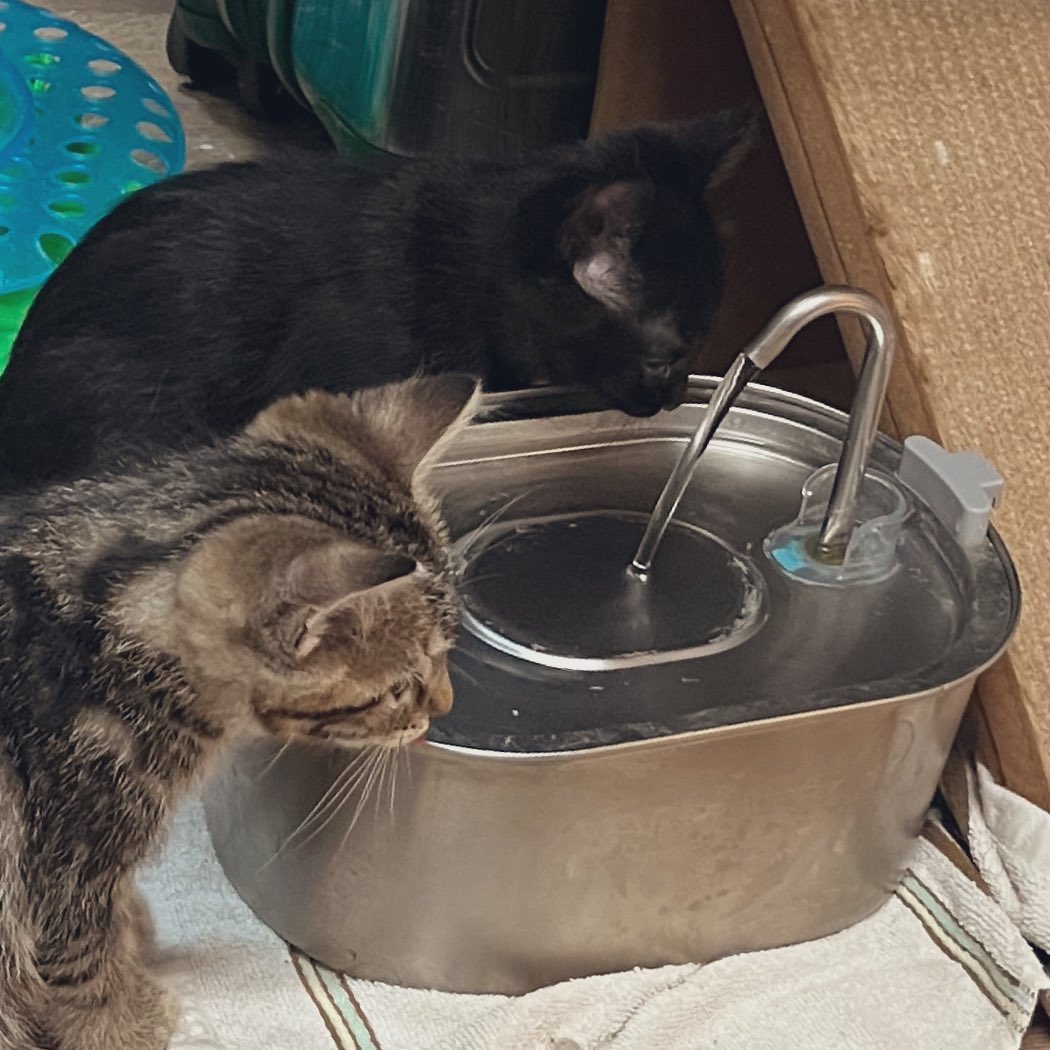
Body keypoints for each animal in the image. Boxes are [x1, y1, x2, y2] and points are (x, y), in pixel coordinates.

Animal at [0, 373, 472, 1045]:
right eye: (400, 687)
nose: (446, 703)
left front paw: (134, 932)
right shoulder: (59, 870)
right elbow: (82, 971)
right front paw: (137, 1024)